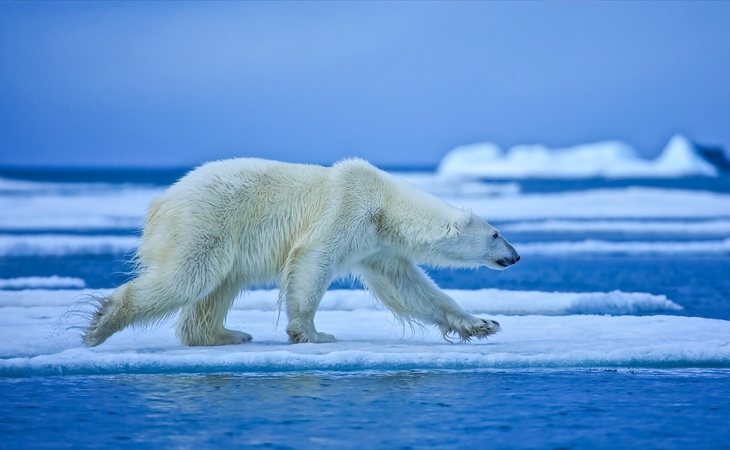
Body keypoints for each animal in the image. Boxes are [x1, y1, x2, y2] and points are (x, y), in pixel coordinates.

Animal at [84, 158, 516, 348]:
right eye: (496, 234)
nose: (515, 256)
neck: (384, 205)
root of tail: (160, 201)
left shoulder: (377, 245)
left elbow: (409, 288)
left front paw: (481, 324)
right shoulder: (347, 210)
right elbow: (313, 260)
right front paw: (312, 333)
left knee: (218, 286)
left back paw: (227, 334)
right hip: (204, 224)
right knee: (188, 277)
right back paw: (101, 323)